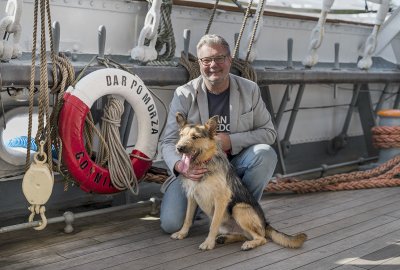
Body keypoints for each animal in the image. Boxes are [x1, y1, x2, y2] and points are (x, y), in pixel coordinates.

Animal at [170, 112, 306, 251]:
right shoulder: (192, 196)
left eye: (195, 137)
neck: (205, 163)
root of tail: (265, 223)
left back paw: (249, 244)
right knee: (244, 235)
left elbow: (213, 225)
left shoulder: (221, 199)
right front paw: (182, 233)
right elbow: (187, 218)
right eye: (181, 135)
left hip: (238, 208)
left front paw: (208, 243)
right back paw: (225, 239)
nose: (179, 148)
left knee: (261, 238)